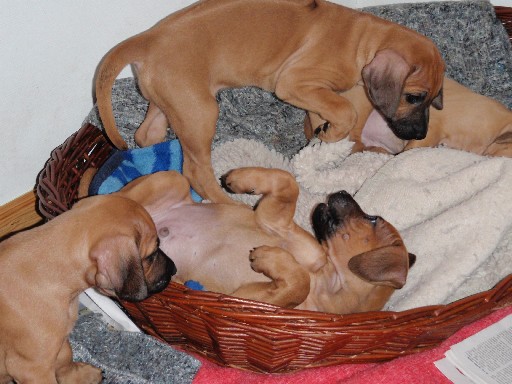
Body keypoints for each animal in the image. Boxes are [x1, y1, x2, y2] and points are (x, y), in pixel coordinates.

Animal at [95, 0, 444, 204]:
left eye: (434, 98)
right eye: (414, 97)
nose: (420, 135)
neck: (363, 39)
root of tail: (148, 39)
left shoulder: (308, 91)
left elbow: (327, 109)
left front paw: (322, 132)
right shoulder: (293, 81)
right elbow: (346, 109)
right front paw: (331, 135)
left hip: (169, 103)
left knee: (146, 135)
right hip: (200, 112)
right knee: (196, 171)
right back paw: (228, 204)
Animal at [113, 166, 416, 314]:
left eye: (373, 218)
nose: (342, 191)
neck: (328, 280)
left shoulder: (247, 299)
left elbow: (299, 284)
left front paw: (269, 258)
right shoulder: (277, 224)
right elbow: (287, 182)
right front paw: (239, 179)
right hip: (170, 180)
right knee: (114, 200)